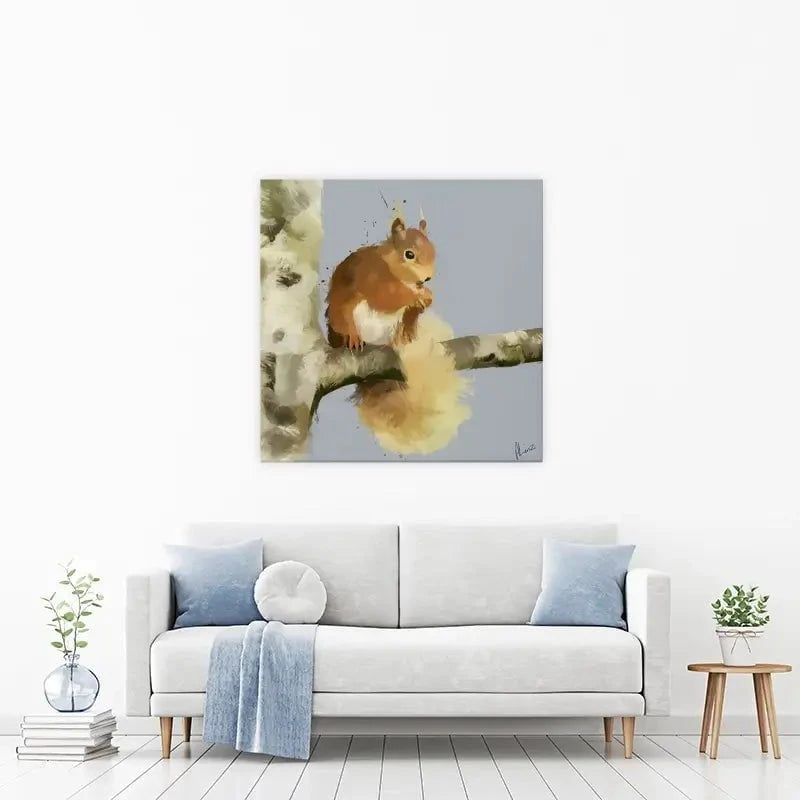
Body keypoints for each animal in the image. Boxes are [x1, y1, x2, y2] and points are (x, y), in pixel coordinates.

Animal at [325, 208, 471, 454]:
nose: (427, 278)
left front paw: (426, 297)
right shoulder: (372, 276)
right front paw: (417, 295)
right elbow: (386, 295)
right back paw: (353, 338)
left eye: (433, 250)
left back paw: (398, 340)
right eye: (409, 254)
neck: (393, 267)